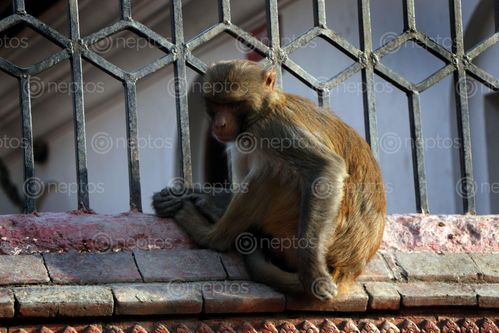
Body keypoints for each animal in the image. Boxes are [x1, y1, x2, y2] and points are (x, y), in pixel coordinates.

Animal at [152, 60, 386, 300]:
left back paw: (210, 236)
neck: (264, 110)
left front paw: (312, 272)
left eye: (234, 105)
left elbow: (325, 168)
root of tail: (351, 266)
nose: (220, 124)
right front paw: (194, 193)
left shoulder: (274, 129)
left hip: (298, 230)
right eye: (217, 104)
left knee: (270, 173)